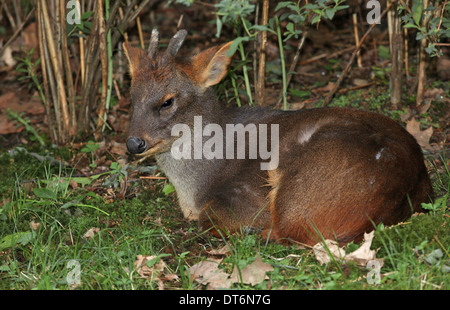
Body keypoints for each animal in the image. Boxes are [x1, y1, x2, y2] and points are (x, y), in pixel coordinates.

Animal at [123, 30, 432, 246]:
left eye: (167, 101)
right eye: (132, 98)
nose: (133, 143)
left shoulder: (245, 195)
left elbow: (210, 218)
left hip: (299, 188)